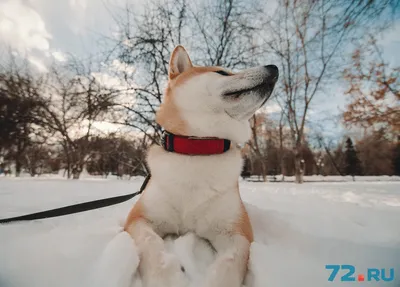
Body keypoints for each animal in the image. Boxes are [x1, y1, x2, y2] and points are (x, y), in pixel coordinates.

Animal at [124, 45, 278, 287]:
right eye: (222, 72)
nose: (274, 68)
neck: (198, 148)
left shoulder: (237, 232)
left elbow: (229, 265)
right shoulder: (139, 219)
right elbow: (151, 245)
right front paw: (166, 278)